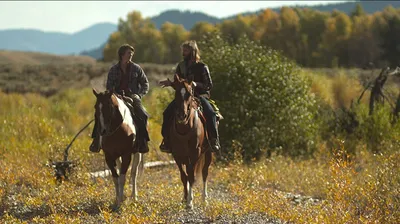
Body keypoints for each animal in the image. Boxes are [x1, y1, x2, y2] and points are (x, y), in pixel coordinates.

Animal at [168, 74, 212, 209]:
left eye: (189, 93)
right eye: (176, 92)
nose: (182, 115)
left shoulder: (195, 153)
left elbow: (192, 176)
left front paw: (190, 202)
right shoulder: (177, 154)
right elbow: (184, 176)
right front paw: (185, 198)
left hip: (208, 152)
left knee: (204, 172)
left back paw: (204, 199)